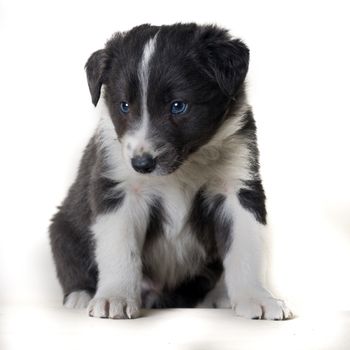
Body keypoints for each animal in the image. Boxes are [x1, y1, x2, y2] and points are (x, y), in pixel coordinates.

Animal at [47, 22, 292, 320]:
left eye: (178, 106)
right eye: (124, 106)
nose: (141, 164)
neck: (183, 168)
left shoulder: (237, 185)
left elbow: (246, 245)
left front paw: (258, 298)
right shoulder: (120, 189)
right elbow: (120, 247)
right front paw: (114, 297)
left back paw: (219, 297)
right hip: (63, 229)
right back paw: (81, 296)